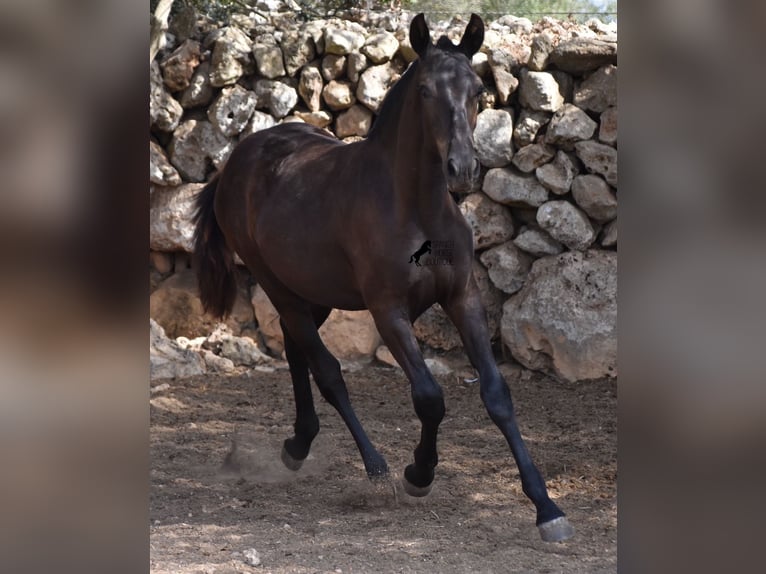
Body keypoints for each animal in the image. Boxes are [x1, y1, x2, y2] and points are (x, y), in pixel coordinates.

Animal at [195, 13, 572, 544]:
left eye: (478, 90)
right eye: (426, 90)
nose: (462, 169)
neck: (417, 211)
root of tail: (236, 159)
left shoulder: (463, 298)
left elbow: (497, 395)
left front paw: (547, 509)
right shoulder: (387, 310)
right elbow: (429, 397)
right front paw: (418, 474)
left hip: (314, 291)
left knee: (296, 350)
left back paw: (298, 444)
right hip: (277, 285)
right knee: (327, 371)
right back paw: (374, 471)